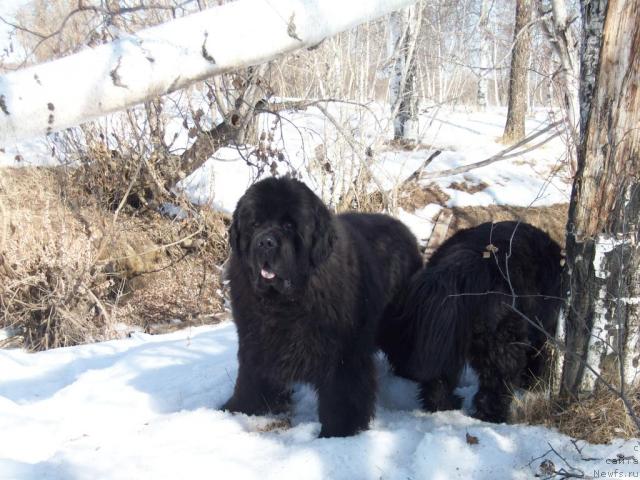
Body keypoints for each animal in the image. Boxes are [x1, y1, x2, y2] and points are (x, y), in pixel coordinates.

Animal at [222, 177, 422, 438]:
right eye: (255, 224)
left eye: (289, 225)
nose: (265, 242)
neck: (285, 302)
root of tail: (406, 230)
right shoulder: (256, 340)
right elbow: (251, 378)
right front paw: (238, 409)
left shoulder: (343, 353)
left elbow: (341, 395)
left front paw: (338, 433)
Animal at [378, 221, 564, 424]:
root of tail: (464, 263)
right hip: (501, 338)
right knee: (497, 380)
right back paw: (492, 416)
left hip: (447, 330)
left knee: (440, 377)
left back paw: (446, 405)